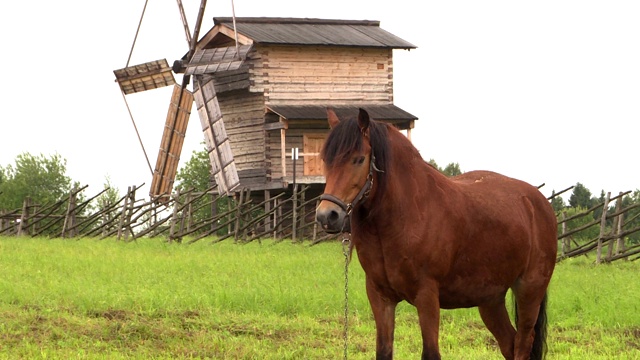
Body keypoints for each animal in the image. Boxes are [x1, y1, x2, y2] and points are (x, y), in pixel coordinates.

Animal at [318, 109, 556, 360]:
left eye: (359, 159)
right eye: (326, 160)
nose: (327, 216)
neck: (408, 214)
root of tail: (537, 202)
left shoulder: (427, 296)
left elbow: (431, 352)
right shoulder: (380, 296)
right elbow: (383, 351)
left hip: (529, 290)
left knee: (523, 342)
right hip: (491, 299)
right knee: (509, 343)